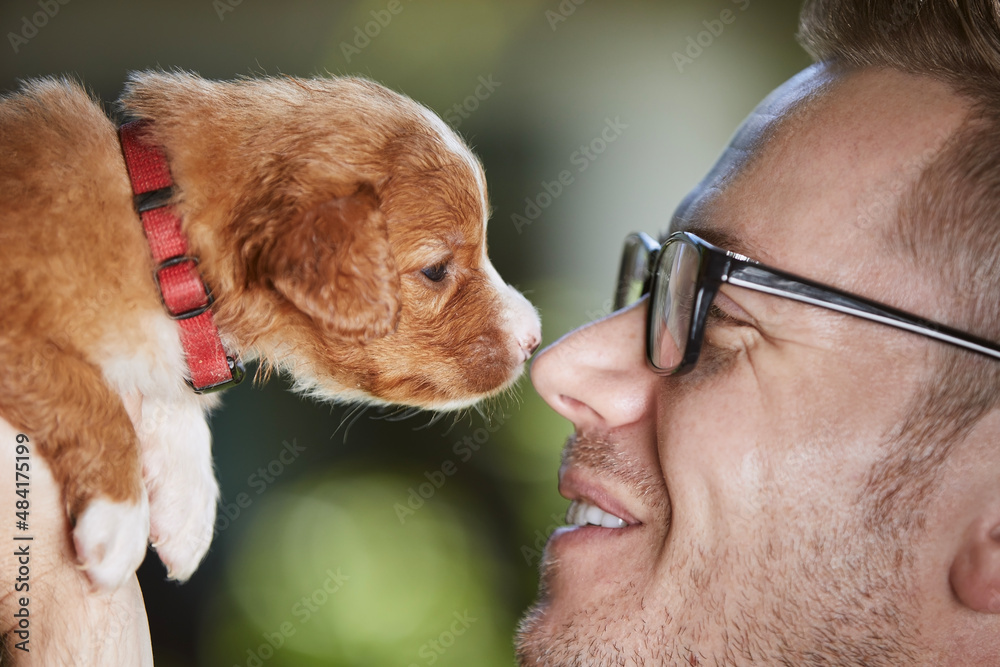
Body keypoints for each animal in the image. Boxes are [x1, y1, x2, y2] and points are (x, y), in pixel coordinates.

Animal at [0, 73, 540, 592]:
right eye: (435, 270)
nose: (534, 338)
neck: (162, 233)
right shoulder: (15, 338)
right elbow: (87, 394)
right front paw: (119, 517)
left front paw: (187, 507)